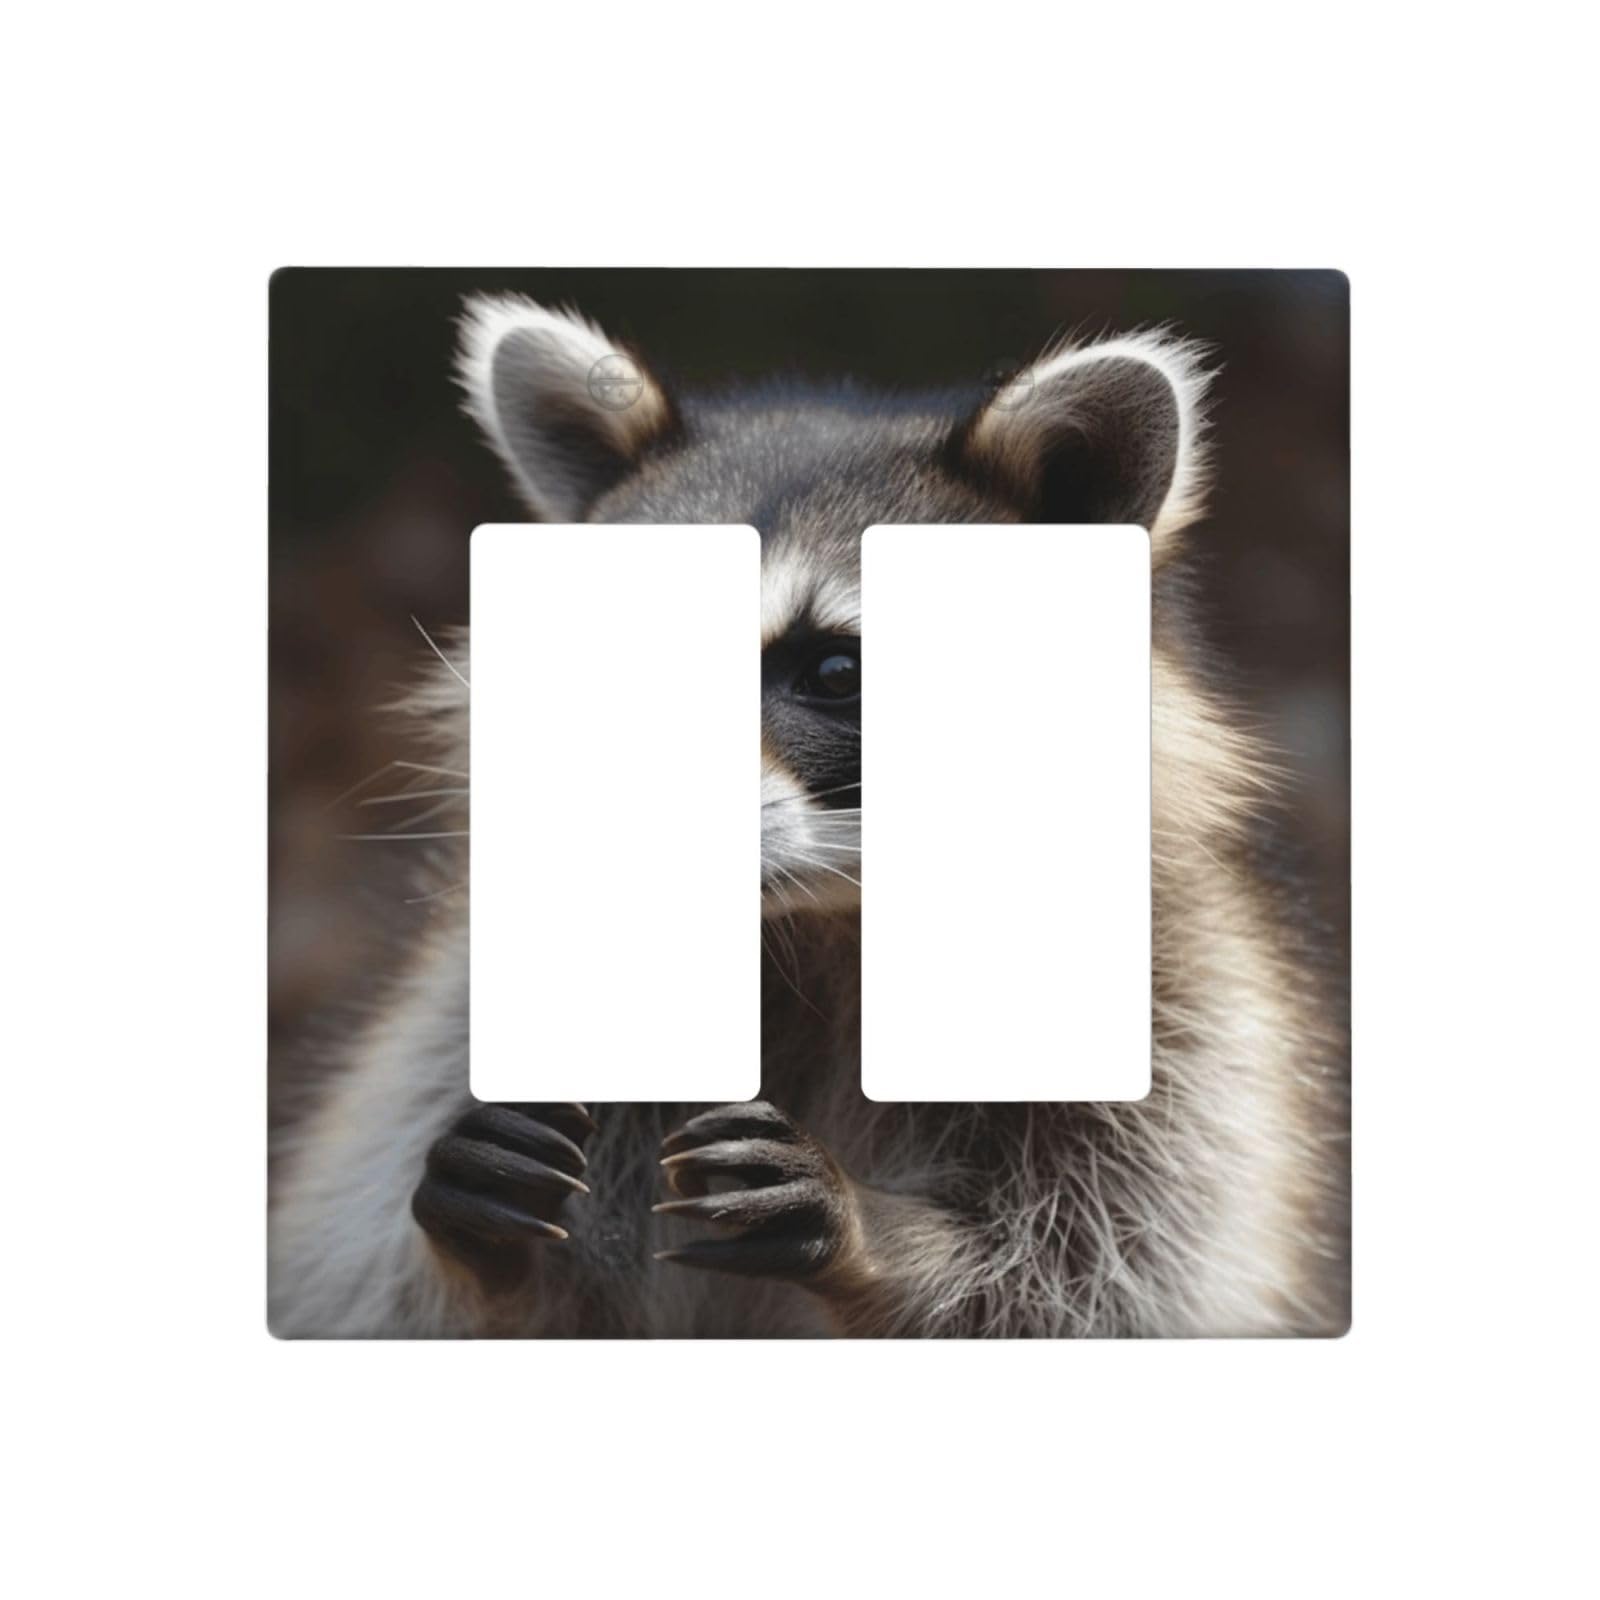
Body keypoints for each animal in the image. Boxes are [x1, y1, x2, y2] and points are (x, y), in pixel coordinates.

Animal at [269, 295, 1349, 1338]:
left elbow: (1103, 1274)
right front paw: (486, 1258)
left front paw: (884, 1239)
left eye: (834, 672)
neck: (813, 925)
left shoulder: (1179, 1022)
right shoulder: (457, 1020)